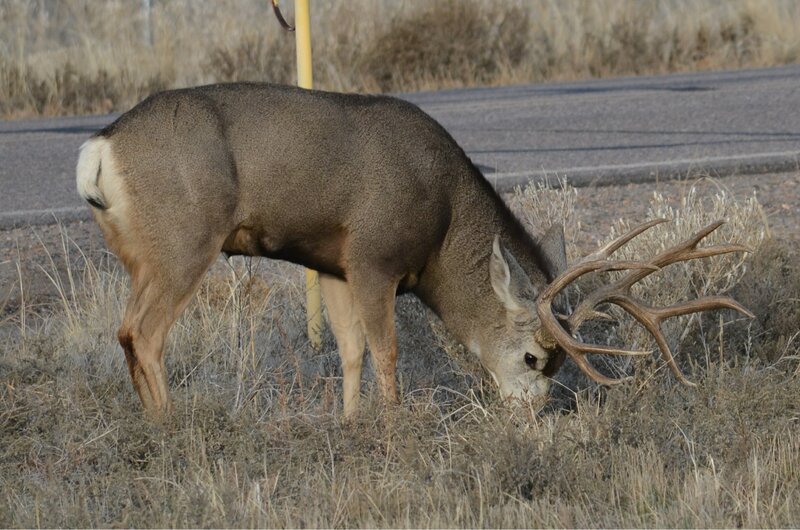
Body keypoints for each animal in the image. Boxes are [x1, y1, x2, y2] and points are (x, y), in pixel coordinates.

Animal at [75, 82, 753, 418]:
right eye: (534, 357)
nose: (531, 416)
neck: (443, 218)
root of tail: (100, 147)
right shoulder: (375, 257)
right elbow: (387, 351)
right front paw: (394, 426)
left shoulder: (333, 263)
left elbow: (349, 352)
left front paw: (350, 425)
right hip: (184, 240)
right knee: (142, 332)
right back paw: (170, 427)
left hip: (143, 253)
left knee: (129, 332)